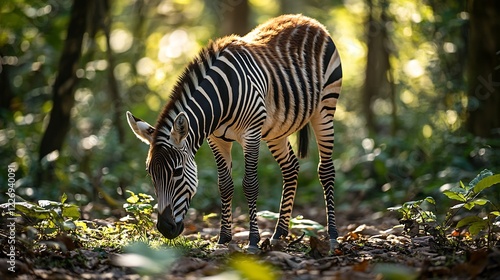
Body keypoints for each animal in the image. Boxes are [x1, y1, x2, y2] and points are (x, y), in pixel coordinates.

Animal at [127, 14, 342, 252]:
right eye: (150, 174)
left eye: (177, 172)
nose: (165, 228)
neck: (220, 99)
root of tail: (308, 20)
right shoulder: (216, 139)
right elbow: (224, 186)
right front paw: (223, 238)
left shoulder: (251, 133)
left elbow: (250, 185)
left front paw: (253, 241)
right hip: (277, 129)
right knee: (290, 168)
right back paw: (279, 234)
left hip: (325, 107)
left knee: (326, 171)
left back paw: (333, 236)